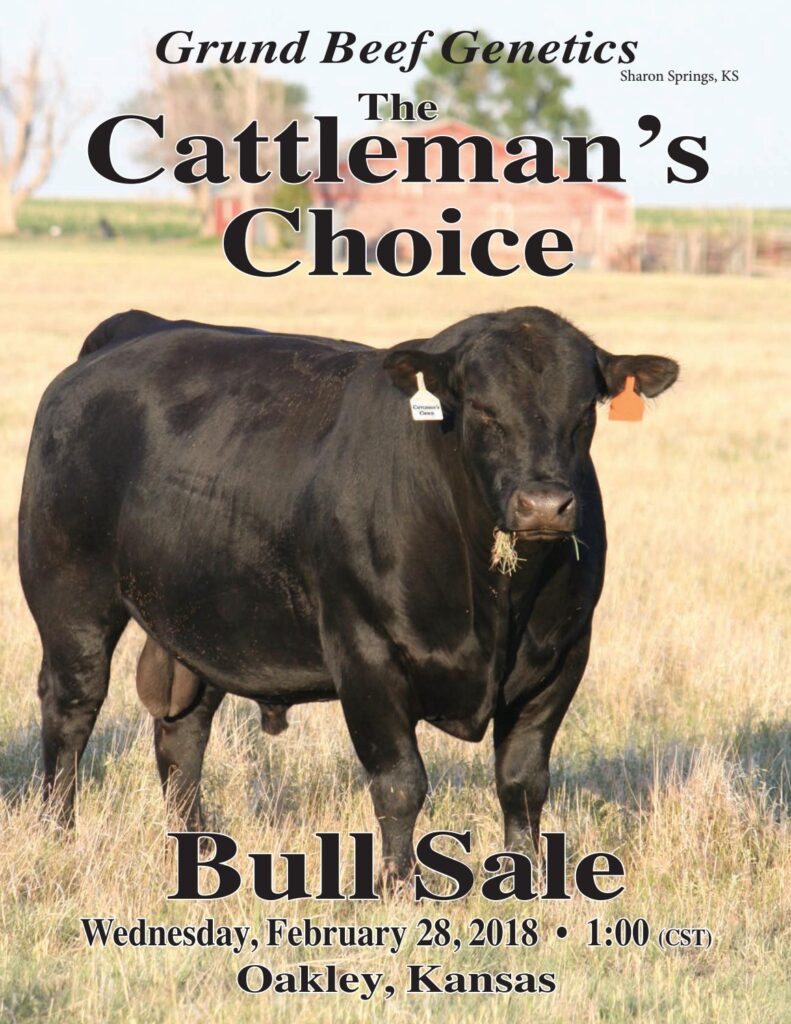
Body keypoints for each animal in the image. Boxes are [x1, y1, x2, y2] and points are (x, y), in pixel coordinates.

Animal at [18, 306, 678, 886]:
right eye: (482, 409)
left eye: (583, 412)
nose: (543, 506)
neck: (493, 601)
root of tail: (134, 330)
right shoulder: (364, 651)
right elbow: (400, 782)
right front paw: (397, 885)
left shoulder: (561, 657)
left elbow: (522, 781)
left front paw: (529, 880)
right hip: (70, 600)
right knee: (71, 712)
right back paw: (58, 834)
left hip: (197, 622)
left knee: (182, 735)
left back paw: (197, 848)